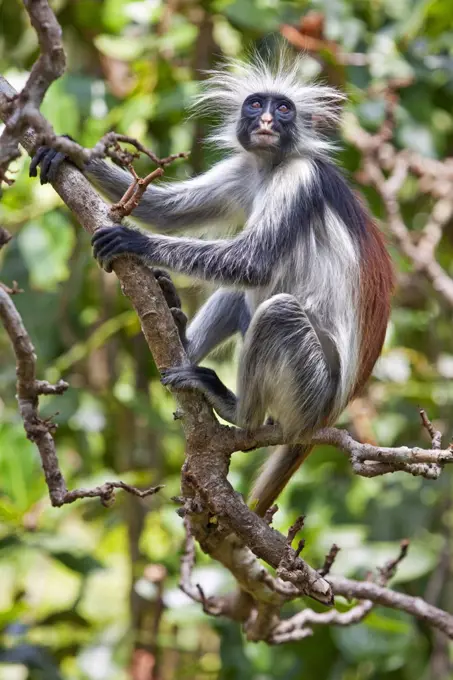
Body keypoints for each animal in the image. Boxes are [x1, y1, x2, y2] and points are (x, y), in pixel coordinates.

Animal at [30, 50, 392, 516]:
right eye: (256, 104)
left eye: (285, 109)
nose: (267, 121)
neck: (270, 166)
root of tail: (332, 413)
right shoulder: (244, 169)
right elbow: (165, 210)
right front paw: (71, 152)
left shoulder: (299, 178)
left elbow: (252, 263)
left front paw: (136, 241)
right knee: (239, 297)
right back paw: (178, 333)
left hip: (312, 390)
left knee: (276, 309)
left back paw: (236, 411)